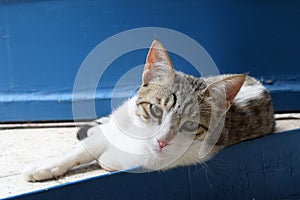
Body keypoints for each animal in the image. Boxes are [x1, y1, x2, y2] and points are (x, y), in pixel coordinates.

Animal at [22, 38, 274, 181]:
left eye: (191, 125)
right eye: (156, 110)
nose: (163, 141)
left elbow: (109, 158)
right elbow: (81, 150)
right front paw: (46, 166)